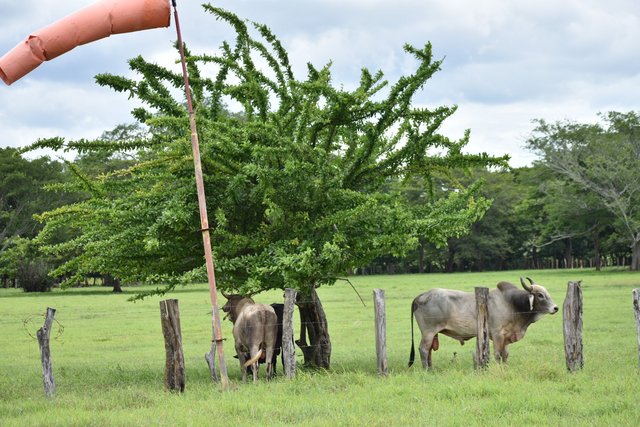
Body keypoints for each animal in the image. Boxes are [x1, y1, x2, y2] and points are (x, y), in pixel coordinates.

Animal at [410, 278, 556, 368]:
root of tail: (421, 296)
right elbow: (497, 355)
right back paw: (427, 370)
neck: (511, 303)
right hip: (428, 332)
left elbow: (505, 355)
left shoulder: (506, 337)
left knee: (429, 350)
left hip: (432, 333)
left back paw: (431, 368)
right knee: (423, 349)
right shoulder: (497, 335)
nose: (555, 308)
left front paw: (506, 368)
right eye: (540, 295)